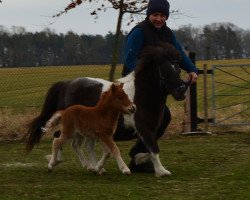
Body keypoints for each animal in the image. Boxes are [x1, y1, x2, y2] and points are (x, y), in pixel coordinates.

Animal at [25, 43, 189, 177]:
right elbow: (153, 148)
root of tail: (66, 84)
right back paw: (55, 162)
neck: (141, 97)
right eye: (166, 71)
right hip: (73, 126)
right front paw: (161, 171)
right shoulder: (144, 129)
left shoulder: (150, 129)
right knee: (60, 137)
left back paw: (91, 167)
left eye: (179, 70)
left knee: (76, 144)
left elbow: (146, 150)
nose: (182, 91)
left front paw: (138, 161)